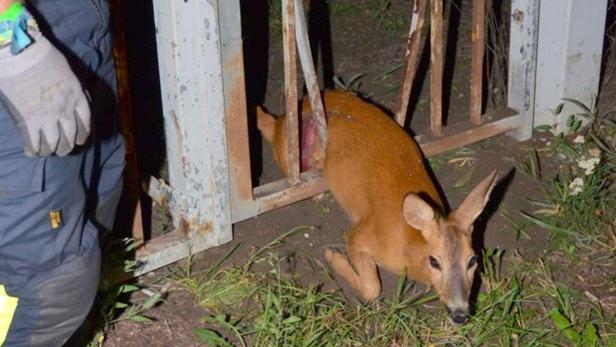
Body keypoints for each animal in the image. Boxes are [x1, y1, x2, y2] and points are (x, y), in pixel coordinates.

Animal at [258, 91, 498, 324]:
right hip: (287, 154)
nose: (460, 315)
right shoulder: (359, 234)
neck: (410, 246)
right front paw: (333, 256)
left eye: (473, 260)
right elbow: (373, 288)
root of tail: (279, 121)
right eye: (434, 261)